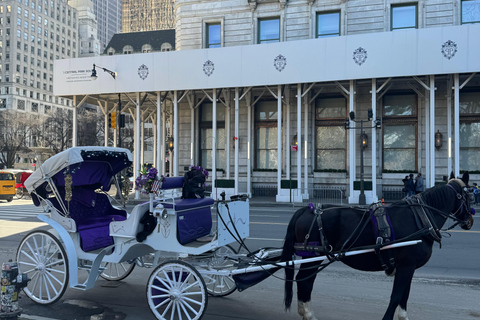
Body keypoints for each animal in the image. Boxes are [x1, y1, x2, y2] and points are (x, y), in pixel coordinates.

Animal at [284, 175, 474, 320]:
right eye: (469, 196)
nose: (470, 221)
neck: (421, 218)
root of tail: (305, 210)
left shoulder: (408, 267)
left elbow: (404, 295)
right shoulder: (406, 266)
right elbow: (396, 296)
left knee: (304, 280)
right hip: (312, 256)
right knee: (305, 281)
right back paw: (308, 314)